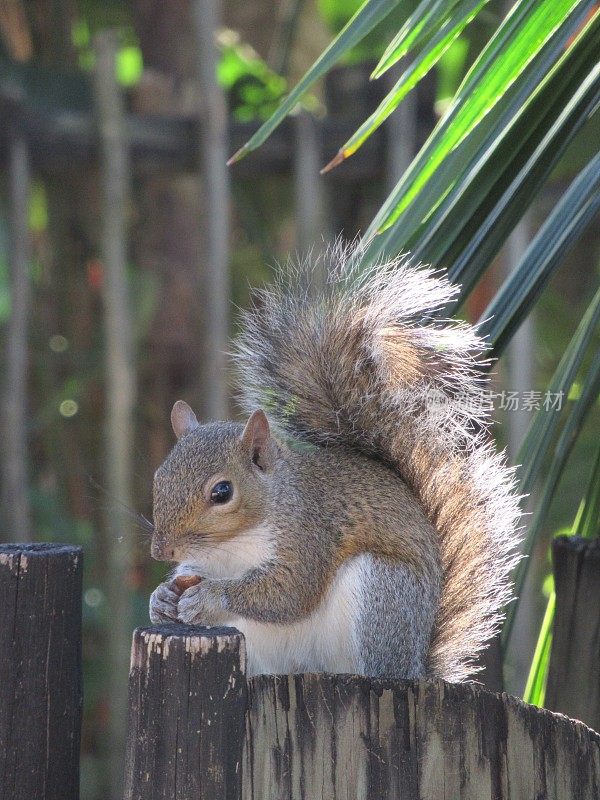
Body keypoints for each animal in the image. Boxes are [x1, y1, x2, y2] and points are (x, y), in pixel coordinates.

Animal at [149, 244, 520, 680]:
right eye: (158, 478)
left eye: (222, 492)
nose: (161, 551)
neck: (230, 547)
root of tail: (417, 666)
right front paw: (160, 598)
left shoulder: (310, 537)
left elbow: (288, 593)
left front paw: (209, 598)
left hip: (382, 594)